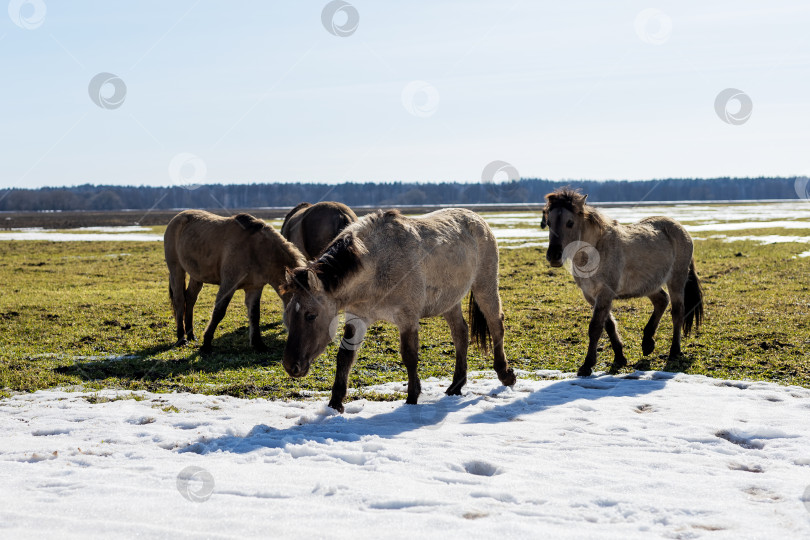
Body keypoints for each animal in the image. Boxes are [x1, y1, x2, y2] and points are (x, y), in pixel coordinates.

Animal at [164, 210, 306, 354]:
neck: (257, 250)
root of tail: (178, 217)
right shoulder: (229, 283)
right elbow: (219, 311)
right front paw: (207, 344)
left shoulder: (254, 287)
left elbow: (254, 314)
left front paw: (258, 344)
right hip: (176, 270)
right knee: (179, 300)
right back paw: (182, 339)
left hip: (196, 276)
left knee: (190, 298)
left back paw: (191, 336)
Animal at [280, 208, 516, 412]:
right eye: (289, 316)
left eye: (311, 315)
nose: (291, 366)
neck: (377, 264)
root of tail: (478, 219)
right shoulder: (357, 317)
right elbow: (345, 356)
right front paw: (335, 403)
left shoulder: (407, 318)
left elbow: (409, 356)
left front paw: (412, 398)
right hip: (450, 301)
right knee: (461, 333)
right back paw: (456, 385)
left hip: (485, 285)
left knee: (496, 324)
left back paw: (505, 374)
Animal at [540, 188, 704, 376]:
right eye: (548, 222)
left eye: (570, 222)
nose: (554, 256)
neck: (596, 250)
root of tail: (680, 228)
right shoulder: (592, 295)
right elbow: (609, 325)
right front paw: (619, 357)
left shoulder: (605, 293)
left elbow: (595, 327)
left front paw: (587, 365)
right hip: (649, 284)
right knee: (662, 301)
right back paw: (647, 343)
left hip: (676, 279)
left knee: (677, 312)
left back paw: (674, 351)